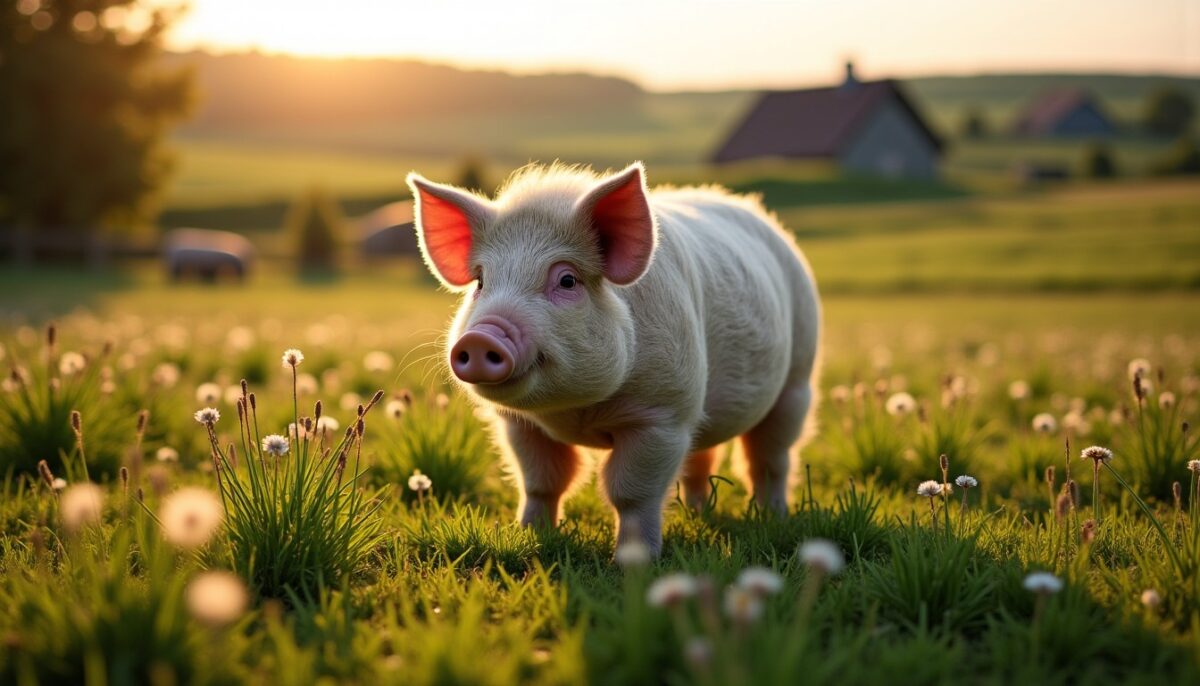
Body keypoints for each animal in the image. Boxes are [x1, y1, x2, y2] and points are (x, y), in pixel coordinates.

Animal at [407, 162, 820, 556]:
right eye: (481, 281)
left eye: (567, 280)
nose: (480, 337)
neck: (576, 412)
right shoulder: (518, 423)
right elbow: (541, 481)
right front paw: (530, 535)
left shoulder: (663, 415)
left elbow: (631, 492)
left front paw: (634, 563)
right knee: (702, 458)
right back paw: (697, 512)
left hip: (798, 379)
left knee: (770, 457)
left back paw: (773, 517)